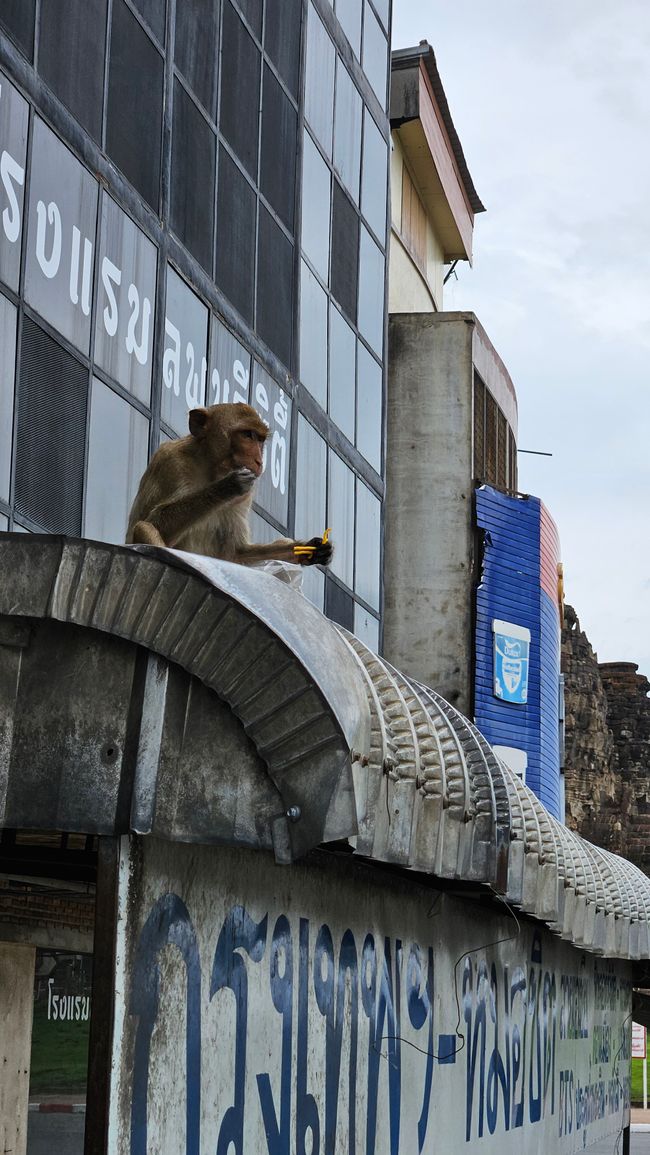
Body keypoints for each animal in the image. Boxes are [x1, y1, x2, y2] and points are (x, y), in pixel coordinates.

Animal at [126, 404, 332, 570]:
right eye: (247, 435)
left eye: (260, 439)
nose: (259, 461)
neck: (209, 467)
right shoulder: (171, 460)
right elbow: (154, 521)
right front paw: (228, 486)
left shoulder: (246, 497)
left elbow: (236, 553)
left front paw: (311, 549)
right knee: (144, 527)